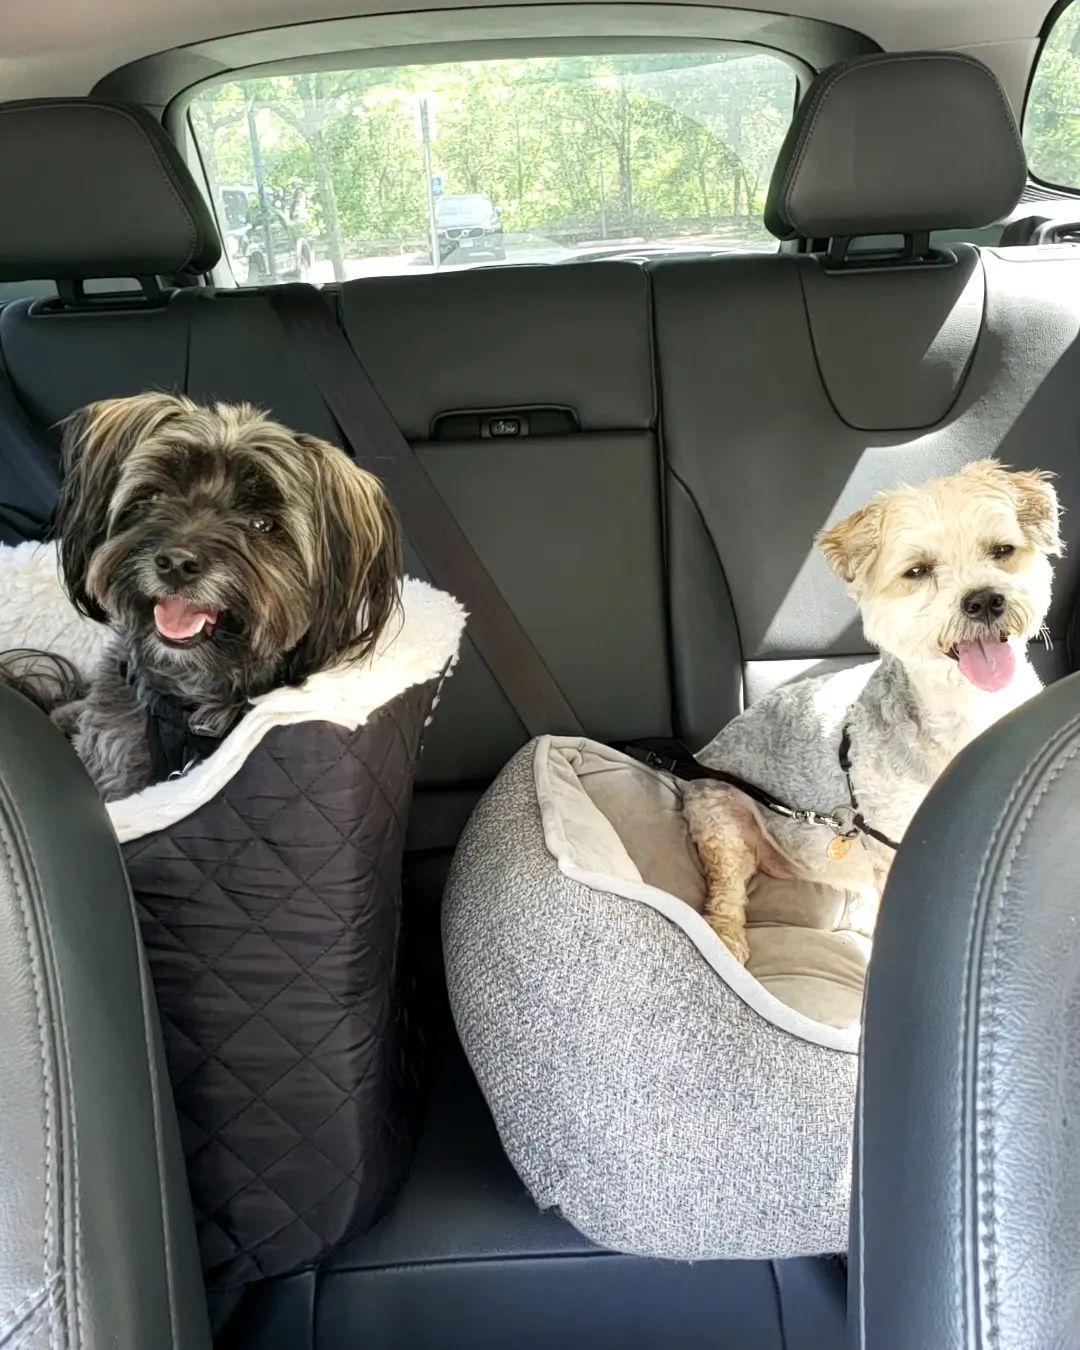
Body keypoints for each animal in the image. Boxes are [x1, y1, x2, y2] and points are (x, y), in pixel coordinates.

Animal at [683, 460, 1062, 964]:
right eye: (917, 570)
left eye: (1002, 550)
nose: (984, 600)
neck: (969, 709)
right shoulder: (892, 840)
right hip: (721, 814)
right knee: (727, 887)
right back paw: (726, 937)